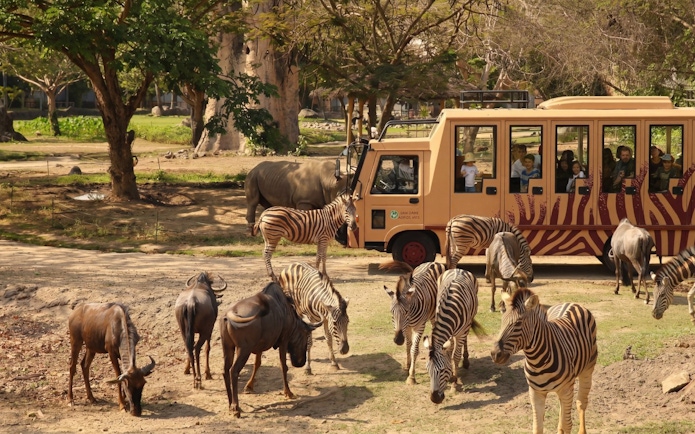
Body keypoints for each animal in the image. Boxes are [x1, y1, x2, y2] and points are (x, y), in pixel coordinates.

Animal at [422, 268, 482, 404]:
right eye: (428, 370)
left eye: (443, 370)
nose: (435, 399)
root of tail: (458, 269)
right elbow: (449, 352)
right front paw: (452, 378)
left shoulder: (461, 332)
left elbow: (456, 356)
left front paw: (454, 384)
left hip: (469, 321)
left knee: (464, 340)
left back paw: (465, 362)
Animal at [491, 288, 598, 434]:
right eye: (502, 321)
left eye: (518, 323)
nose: (495, 354)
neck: (538, 361)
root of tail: (572, 303)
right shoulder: (535, 393)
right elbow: (538, 427)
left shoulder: (566, 389)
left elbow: (567, 425)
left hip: (587, 370)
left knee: (581, 403)